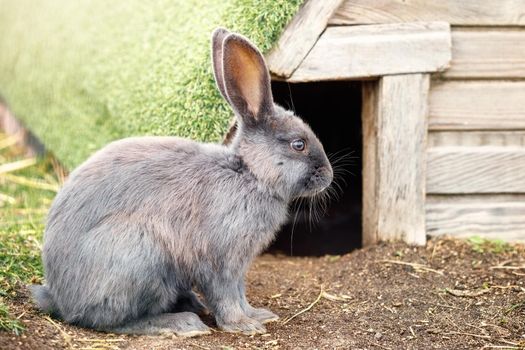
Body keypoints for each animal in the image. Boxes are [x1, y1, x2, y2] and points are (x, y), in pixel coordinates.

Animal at [29, 29, 332, 336]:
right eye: (298, 144)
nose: (328, 175)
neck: (249, 173)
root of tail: (61, 298)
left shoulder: (238, 266)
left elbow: (240, 293)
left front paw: (258, 315)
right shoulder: (220, 261)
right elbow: (225, 296)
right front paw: (242, 325)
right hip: (140, 254)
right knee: (111, 319)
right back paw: (182, 323)